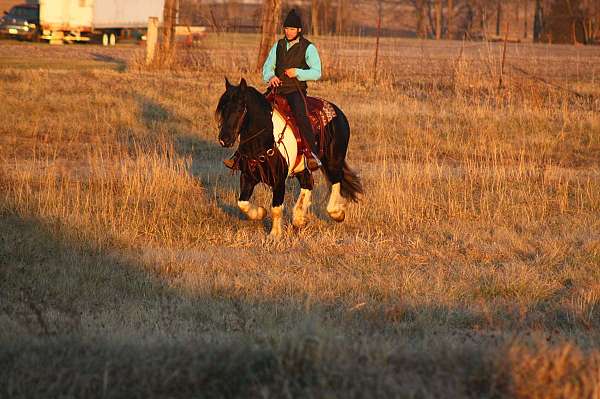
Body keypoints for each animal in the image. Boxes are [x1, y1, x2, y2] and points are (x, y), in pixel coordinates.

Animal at [218, 78, 364, 238]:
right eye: (222, 109)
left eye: (239, 109)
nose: (224, 139)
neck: (264, 139)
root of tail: (338, 112)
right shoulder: (248, 176)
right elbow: (242, 203)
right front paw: (261, 212)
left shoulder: (279, 179)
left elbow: (276, 208)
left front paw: (274, 235)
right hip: (303, 167)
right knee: (308, 183)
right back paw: (299, 219)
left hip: (333, 160)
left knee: (335, 181)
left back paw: (337, 213)